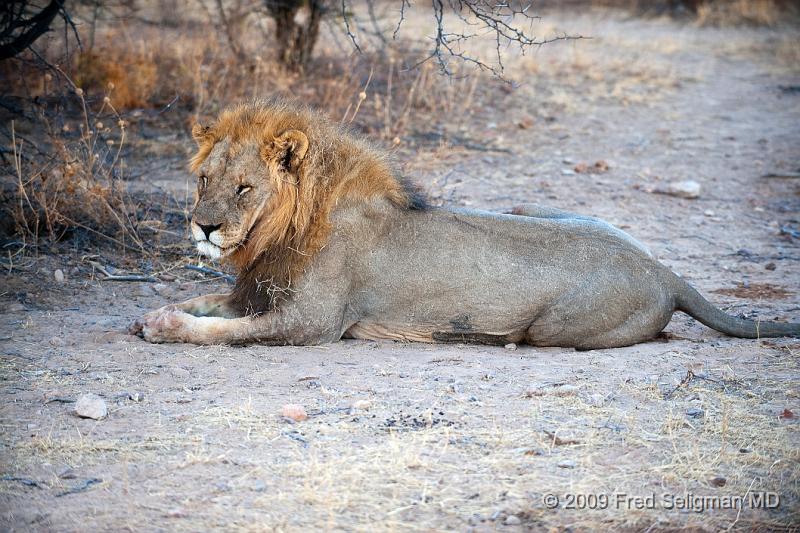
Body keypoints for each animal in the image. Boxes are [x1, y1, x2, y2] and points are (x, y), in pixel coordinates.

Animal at [128, 98, 796, 350]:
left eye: (245, 188)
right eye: (204, 181)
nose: (202, 228)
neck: (283, 232)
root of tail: (664, 270)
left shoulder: (311, 323)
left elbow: (222, 330)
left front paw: (165, 327)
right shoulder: (256, 291)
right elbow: (203, 301)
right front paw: (156, 311)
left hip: (552, 328)